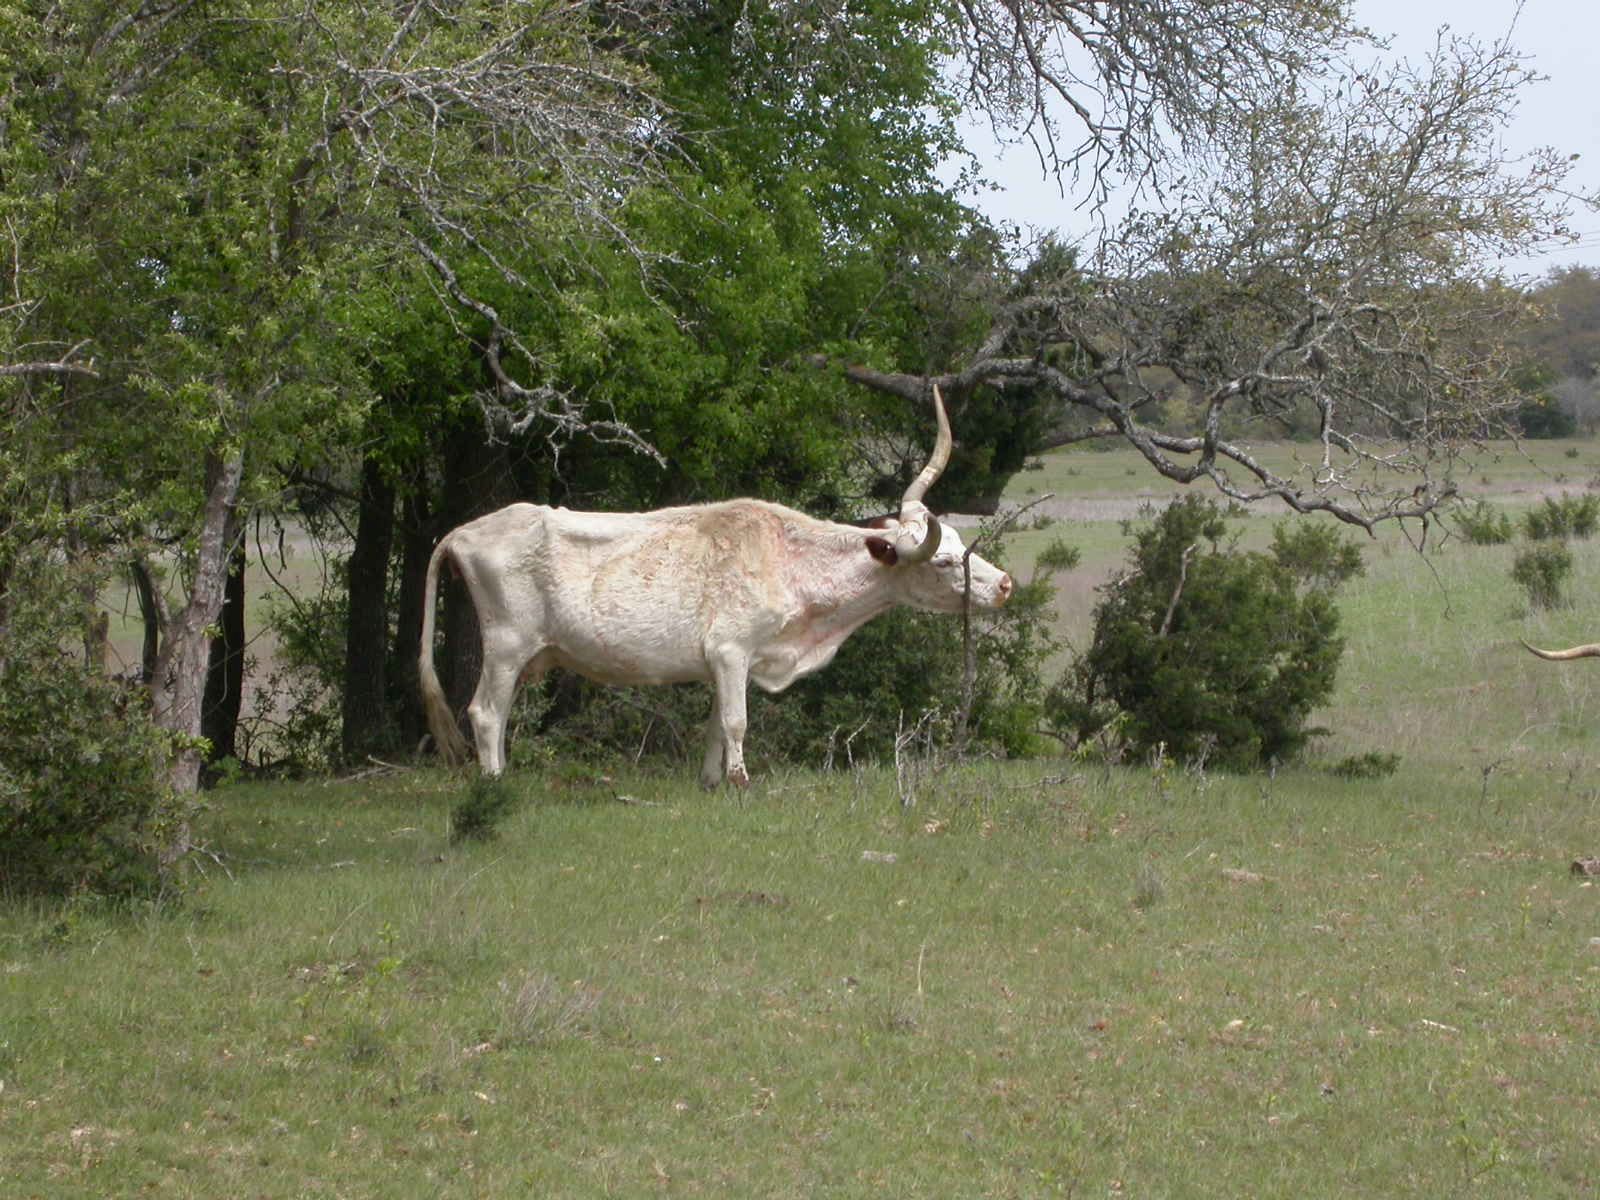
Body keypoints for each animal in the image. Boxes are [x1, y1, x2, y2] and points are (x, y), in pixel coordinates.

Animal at [418, 387, 1013, 786]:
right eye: (943, 561)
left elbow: (713, 727)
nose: (1007, 584)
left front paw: (710, 782)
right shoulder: (731, 650)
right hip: (506, 644)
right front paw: (740, 781)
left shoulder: (730, 664)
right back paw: (494, 782)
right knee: (485, 712)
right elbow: (736, 721)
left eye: (961, 541)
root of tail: (465, 531)